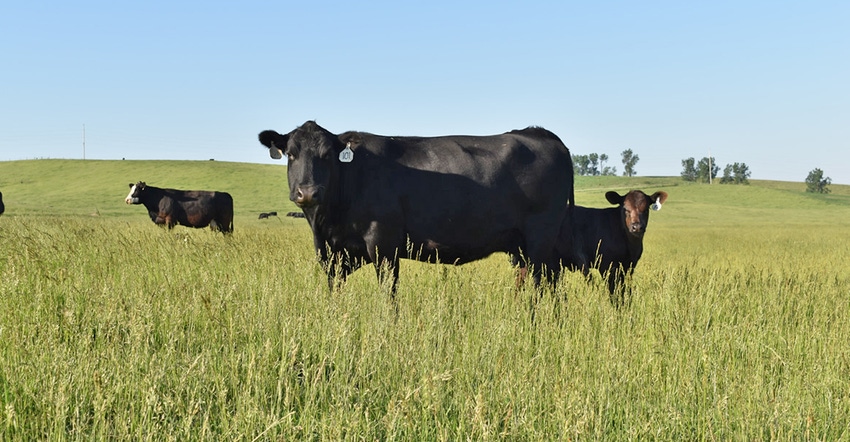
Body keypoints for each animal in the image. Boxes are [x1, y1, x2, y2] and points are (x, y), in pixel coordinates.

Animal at [258, 119, 572, 296]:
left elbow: (389, 295)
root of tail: (538, 133)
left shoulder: (383, 244)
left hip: (540, 238)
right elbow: (334, 291)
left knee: (543, 285)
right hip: (524, 246)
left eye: (326, 155)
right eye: (291, 154)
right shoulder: (333, 255)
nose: (308, 192)